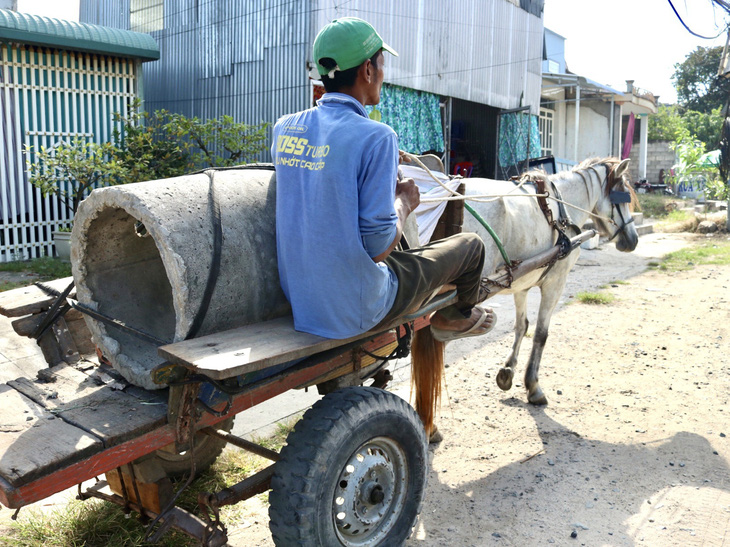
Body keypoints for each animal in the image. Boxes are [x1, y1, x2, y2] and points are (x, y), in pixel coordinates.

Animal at [460, 156, 636, 404]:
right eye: (623, 195)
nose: (633, 240)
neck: (561, 207)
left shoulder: (521, 281)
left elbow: (522, 326)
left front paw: (508, 371)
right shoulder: (556, 282)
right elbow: (541, 334)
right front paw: (533, 385)